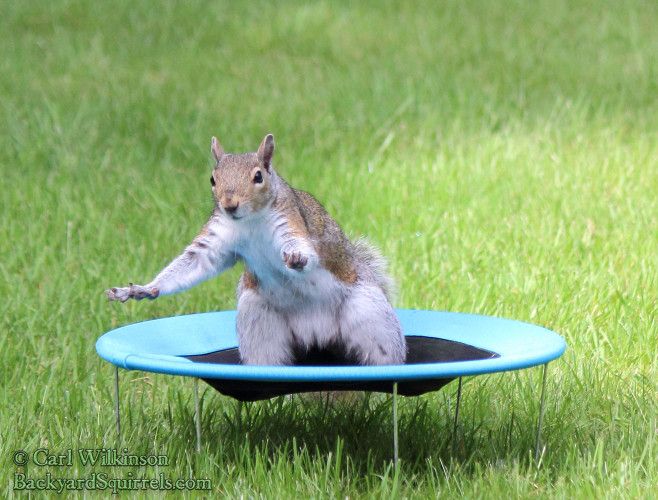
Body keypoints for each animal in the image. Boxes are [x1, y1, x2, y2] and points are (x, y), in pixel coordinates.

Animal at [107, 135, 404, 366]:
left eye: (258, 176)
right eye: (212, 179)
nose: (229, 204)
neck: (250, 221)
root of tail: (317, 334)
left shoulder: (291, 220)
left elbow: (301, 246)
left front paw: (297, 258)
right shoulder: (216, 238)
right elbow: (196, 262)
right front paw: (142, 289)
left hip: (370, 313)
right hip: (258, 320)